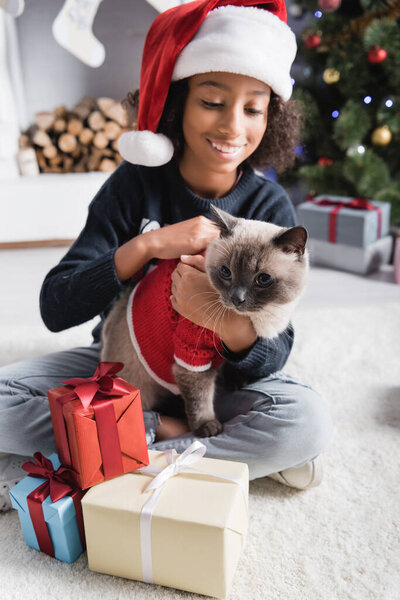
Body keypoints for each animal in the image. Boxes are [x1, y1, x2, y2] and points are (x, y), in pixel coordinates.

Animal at [101, 205, 310, 436]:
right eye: (226, 272)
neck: (256, 318)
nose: (237, 299)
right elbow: (200, 398)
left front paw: (238, 382)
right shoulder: (192, 355)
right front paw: (207, 427)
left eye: (263, 279)